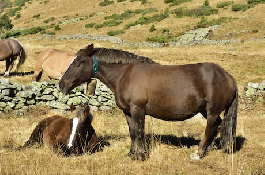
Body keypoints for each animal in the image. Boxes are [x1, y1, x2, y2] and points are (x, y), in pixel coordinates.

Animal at [58, 43, 237, 160]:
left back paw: (199, 153)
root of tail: (228, 77)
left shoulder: (138, 109)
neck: (125, 75)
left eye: (79, 62)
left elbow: (139, 132)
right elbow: (132, 132)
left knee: (210, 127)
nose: (61, 84)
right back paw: (208, 148)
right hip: (205, 110)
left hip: (212, 111)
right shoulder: (128, 111)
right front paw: (132, 154)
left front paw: (141, 156)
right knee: (217, 126)